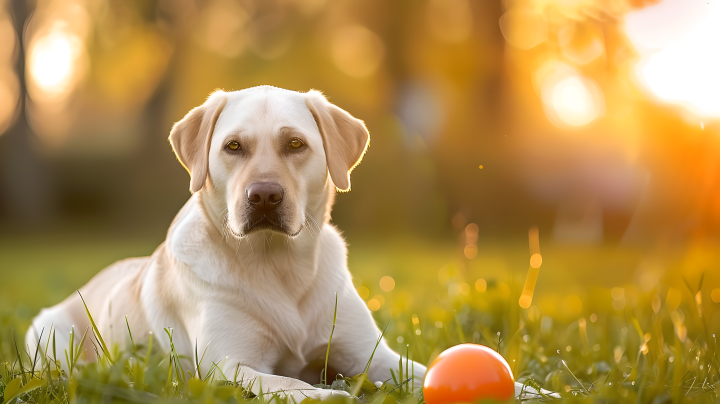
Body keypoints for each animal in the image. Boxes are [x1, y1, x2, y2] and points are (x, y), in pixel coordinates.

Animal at [26, 86, 544, 400]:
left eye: (295, 144)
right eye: (233, 147)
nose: (264, 196)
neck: (279, 267)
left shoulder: (375, 357)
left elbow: (429, 369)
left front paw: (531, 391)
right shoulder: (228, 366)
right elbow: (294, 386)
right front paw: (331, 396)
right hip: (50, 331)